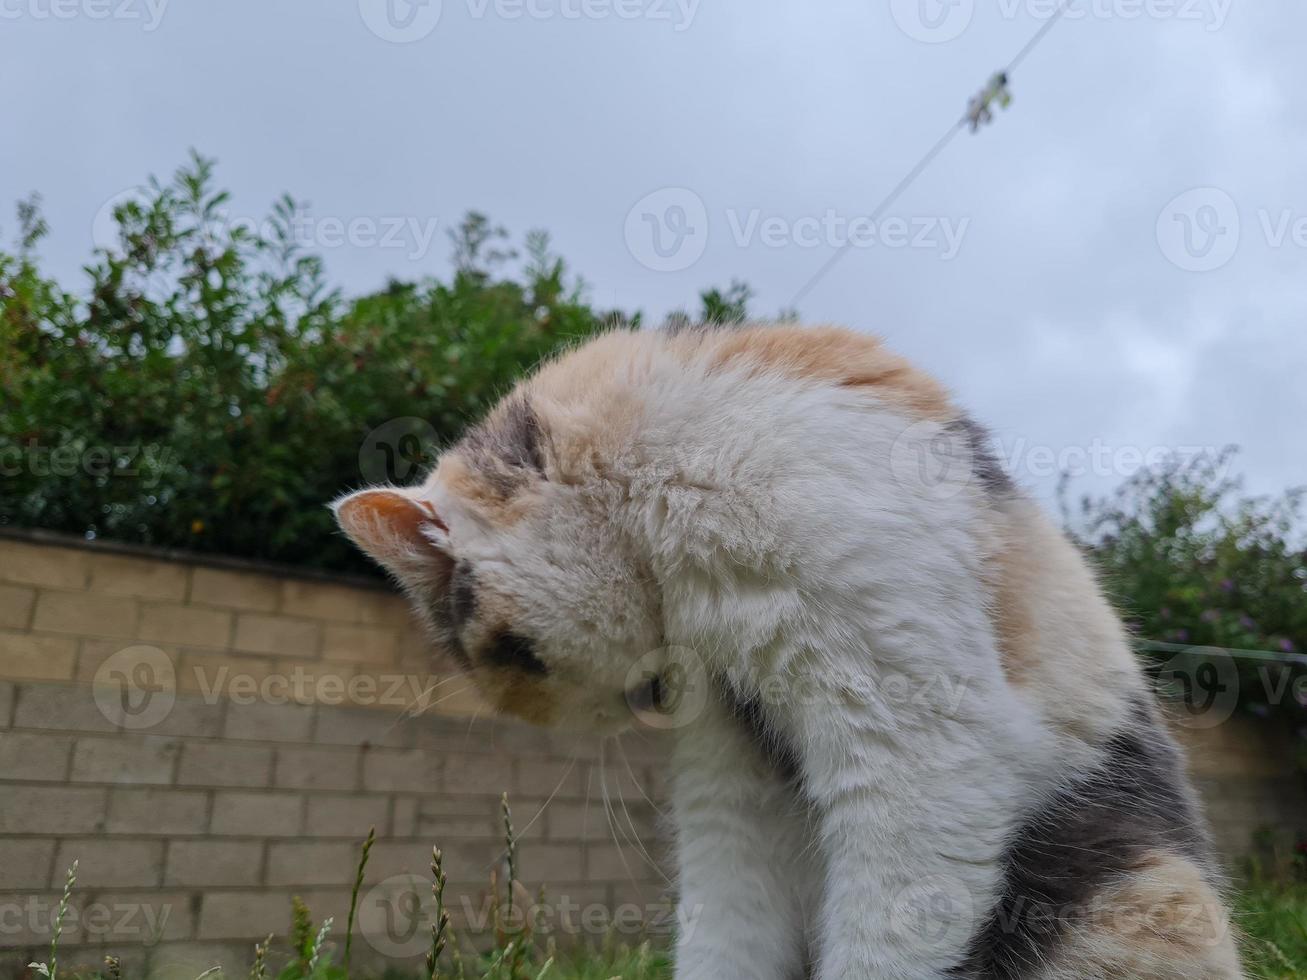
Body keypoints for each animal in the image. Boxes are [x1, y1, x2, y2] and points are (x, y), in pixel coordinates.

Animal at [331, 324, 1239, 980]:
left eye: (511, 660)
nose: (624, 710)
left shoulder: (918, 751)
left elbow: (886, 935)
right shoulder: (729, 776)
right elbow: (725, 931)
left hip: (1141, 895)